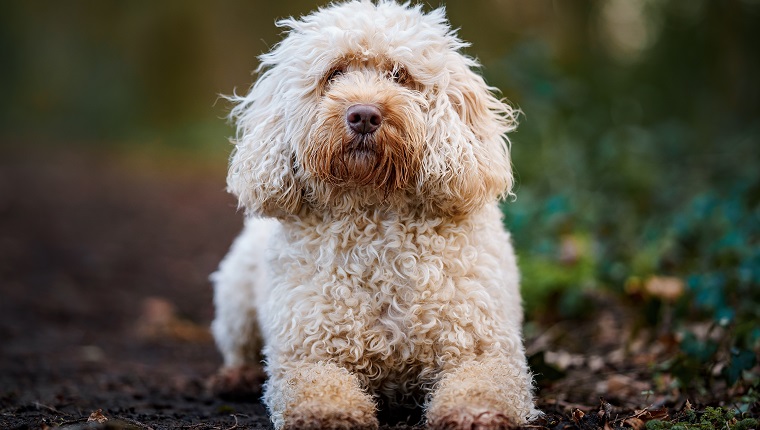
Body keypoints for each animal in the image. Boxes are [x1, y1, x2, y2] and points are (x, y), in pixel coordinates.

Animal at [211, 1, 536, 428]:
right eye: (333, 74)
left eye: (400, 75)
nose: (363, 115)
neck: (374, 213)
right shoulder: (307, 353)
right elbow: (317, 386)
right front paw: (329, 413)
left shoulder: (482, 347)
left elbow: (482, 383)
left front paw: (475, 411)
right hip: (235, 294)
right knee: (238, 344)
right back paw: (238, 376)